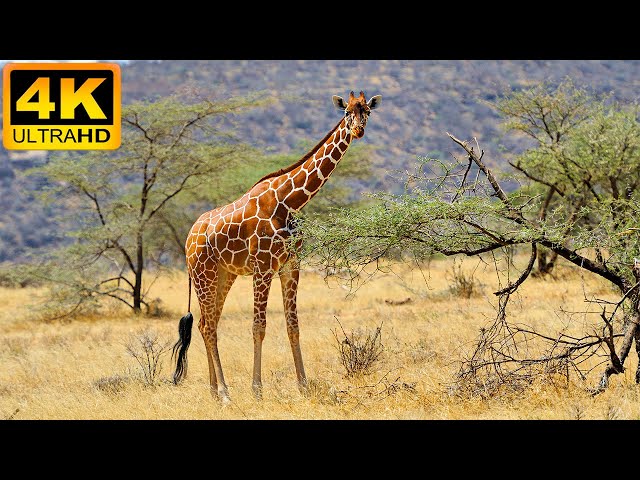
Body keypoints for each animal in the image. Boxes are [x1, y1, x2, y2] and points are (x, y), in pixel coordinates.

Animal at [171, 89, 380, 402]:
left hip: (224, 275)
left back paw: (213, 391)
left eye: (366, 110)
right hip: (202, 274)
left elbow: (293, 326)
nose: (358, 130)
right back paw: (224, 392)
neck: (290, 202)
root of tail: (189, 238)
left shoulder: (290, 266)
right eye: (346, 113)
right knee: (208, 326)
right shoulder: (263, 267)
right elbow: (258, 326)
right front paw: (257, 390)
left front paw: (303, 385)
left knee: (208, 323)